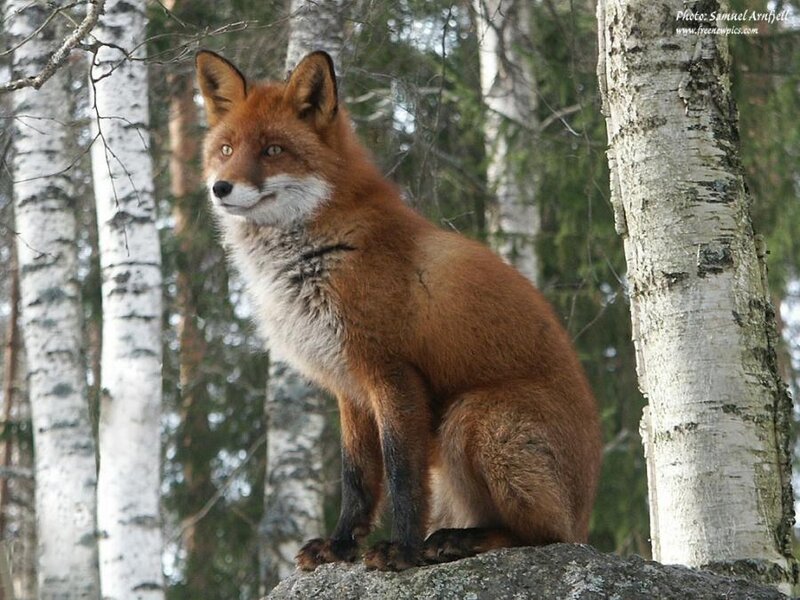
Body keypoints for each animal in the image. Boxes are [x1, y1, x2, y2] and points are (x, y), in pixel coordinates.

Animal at [195, 49, 602, 571]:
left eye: (272, 150)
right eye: (226, 149)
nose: (221, 188)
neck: (319, 255)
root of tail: (586, 518)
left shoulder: (391, 372)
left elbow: (402, 476)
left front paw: (402, 549)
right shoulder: (348, 386)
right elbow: (357, 478)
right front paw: (341, 545)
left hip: (474, 417)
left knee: (546, 536)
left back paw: (461, 540)